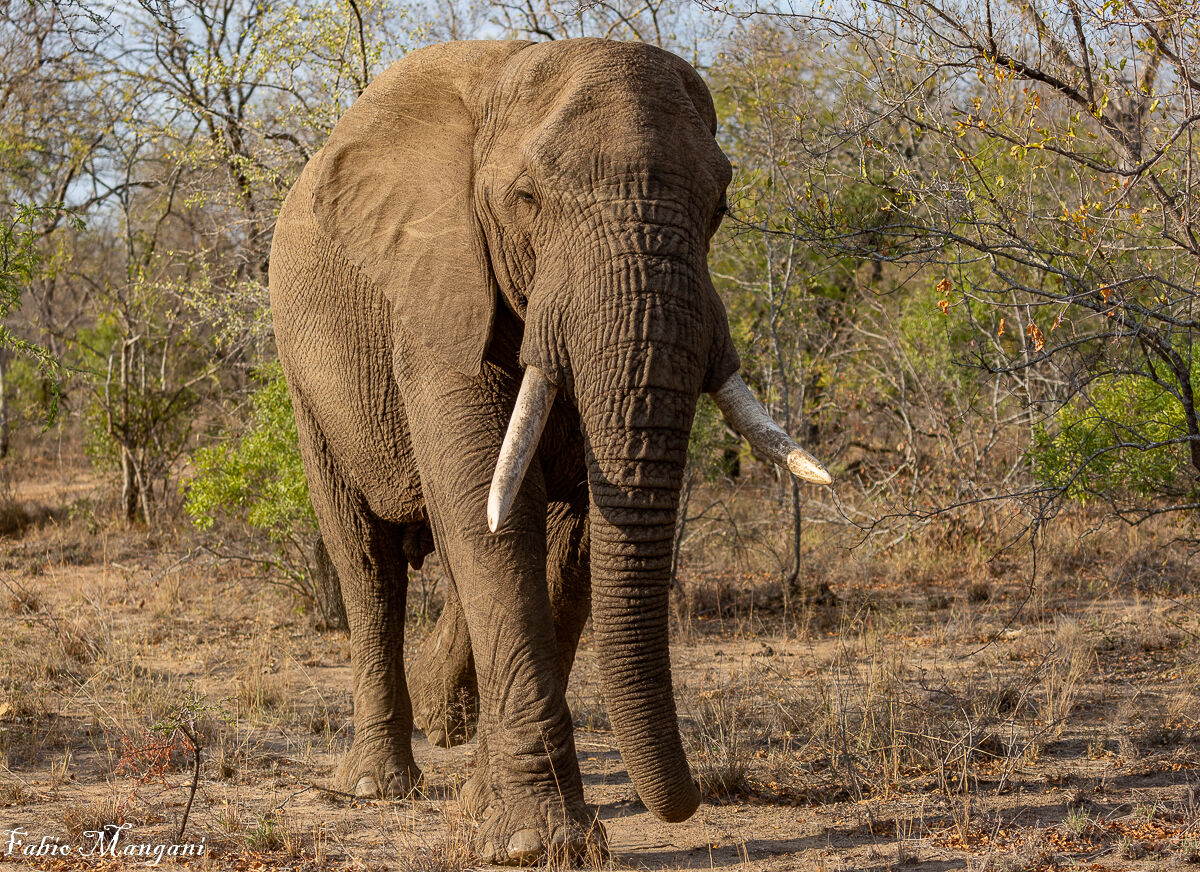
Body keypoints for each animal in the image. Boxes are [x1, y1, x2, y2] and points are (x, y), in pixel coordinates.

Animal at [269, 37, 830, 865]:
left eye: (721, 207)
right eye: (528, 200)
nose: (691, 800)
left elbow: (572, 537)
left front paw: (492, 815)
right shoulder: (439, 292)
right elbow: (490, 511)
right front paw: (535, 841)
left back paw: (446, 734)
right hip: (305, 371)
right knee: (367, 559)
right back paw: (375, 785)